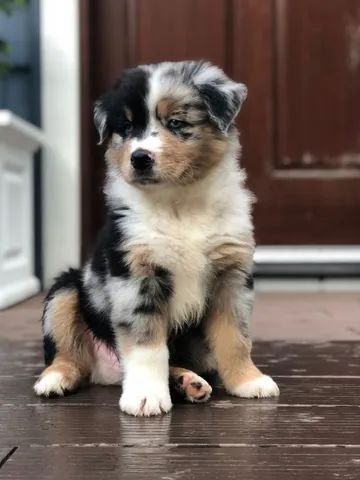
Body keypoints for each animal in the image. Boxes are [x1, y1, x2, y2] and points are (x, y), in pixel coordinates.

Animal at [33, 61, 280, 416]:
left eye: (176, 123)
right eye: (125, 127)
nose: (139, 158)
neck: (179, 201)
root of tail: (108, 372)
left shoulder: (231, 275)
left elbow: (235, 336)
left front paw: (248, 381)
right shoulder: (136, 275)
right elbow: (147, 345)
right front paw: (146, 397)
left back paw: (188, 382)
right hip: (65, 291)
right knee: (69, 354)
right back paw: (55, 380)